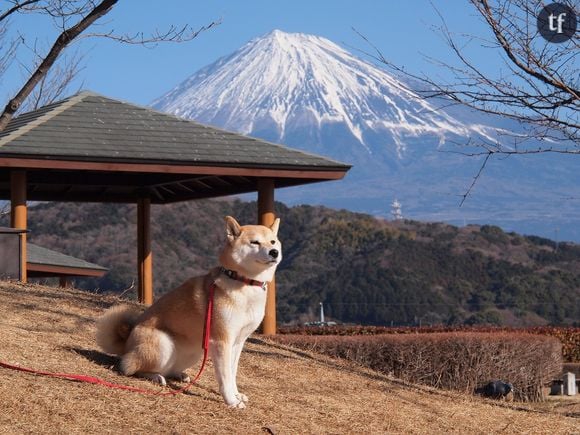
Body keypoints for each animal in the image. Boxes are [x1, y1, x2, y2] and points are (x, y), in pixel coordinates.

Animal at [96, 216, 282, 410]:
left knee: (168, 368)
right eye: (255, 242)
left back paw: (179, 375)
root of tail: (126, 344)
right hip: (163, 344)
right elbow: (225, 377)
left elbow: (232, 373)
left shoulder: (238, 341)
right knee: (128, 367)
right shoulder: (221, 341)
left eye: (273, 241)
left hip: (195, 351)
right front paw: (231, 401)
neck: (244, 282)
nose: (274, 252)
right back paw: (155, 376)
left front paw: (237, 395)